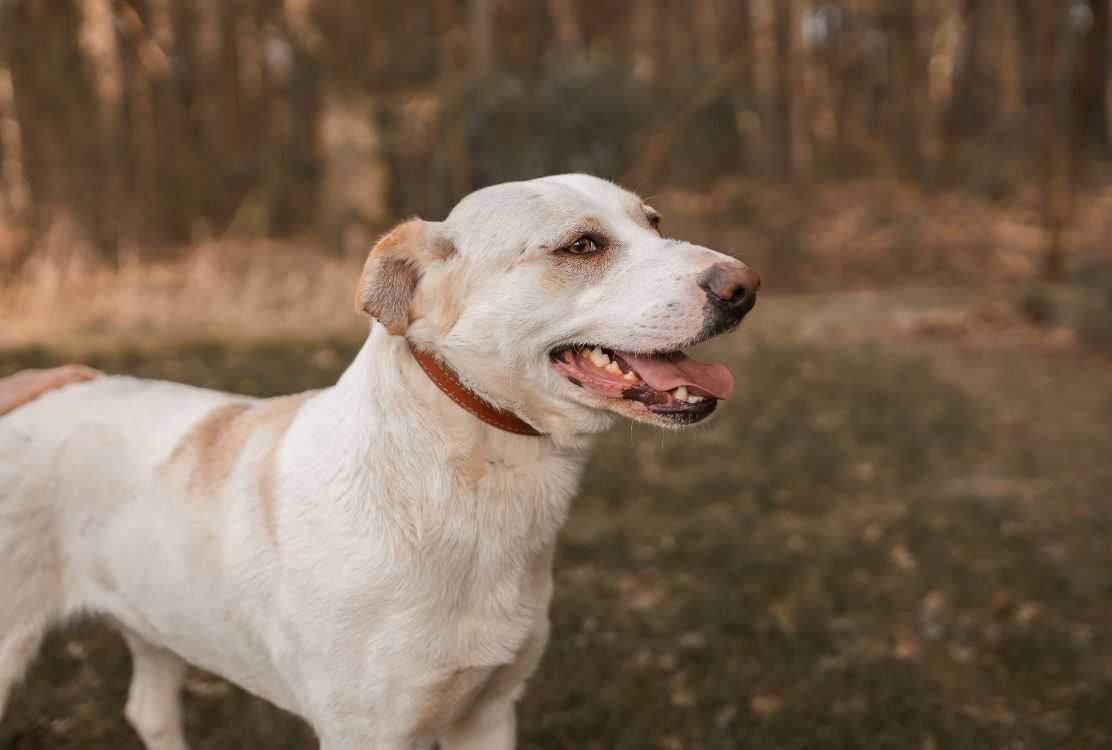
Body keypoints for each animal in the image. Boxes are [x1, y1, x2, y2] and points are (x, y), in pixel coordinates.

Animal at [0, 172, 756, 743]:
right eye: (583, 244)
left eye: (654, 222)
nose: (745, 285)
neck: (474, 482)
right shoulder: (370, 730)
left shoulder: (489, 712)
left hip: (157, 629)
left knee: (149, 713)